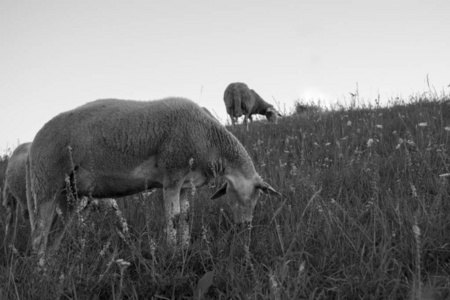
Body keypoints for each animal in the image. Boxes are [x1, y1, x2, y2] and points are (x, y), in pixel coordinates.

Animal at [26, 97, 280, 264]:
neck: (210, 140)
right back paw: (41, 274)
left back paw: (51, 271)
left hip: (68, 195)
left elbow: (186, 217)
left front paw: (185, 249)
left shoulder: (185, 183)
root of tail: (33, 143)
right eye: (252, 197)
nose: (244, 228)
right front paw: (172, 253)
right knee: (38, 237)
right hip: (46, 184)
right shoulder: (172, 175)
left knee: (52, 237)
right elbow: (173, 218)